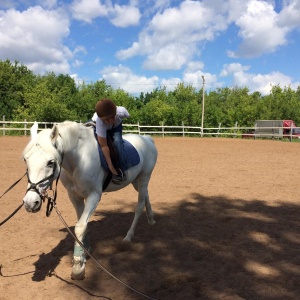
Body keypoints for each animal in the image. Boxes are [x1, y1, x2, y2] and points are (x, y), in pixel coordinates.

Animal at [22, 120, 158, 280]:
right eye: (26, 160)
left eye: (50, 162)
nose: (30, 202)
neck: (79, 159)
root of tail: (147, 139)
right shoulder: (74, 196)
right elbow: (81, 222)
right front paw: (85, 249)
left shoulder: (94, 196)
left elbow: (80, 226)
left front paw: (78, 265)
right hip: (136, 181)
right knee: (146, 195)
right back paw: (151, 219)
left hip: (144, 177)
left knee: (139, 205)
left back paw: (128, 237)